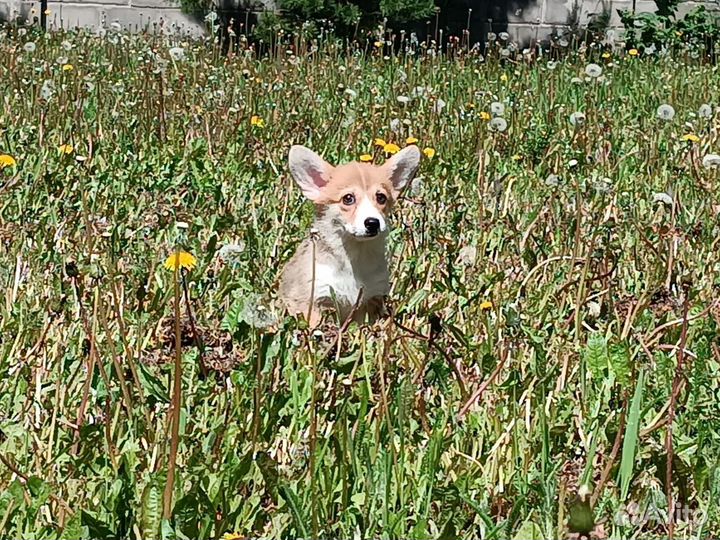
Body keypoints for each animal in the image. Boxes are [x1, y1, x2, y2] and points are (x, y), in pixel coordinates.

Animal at [278, 143, 422, 326]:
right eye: (348, 198)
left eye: (381, 198)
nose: (373, 223)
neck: (355, 257)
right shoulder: (314, 298)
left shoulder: (370, 301)